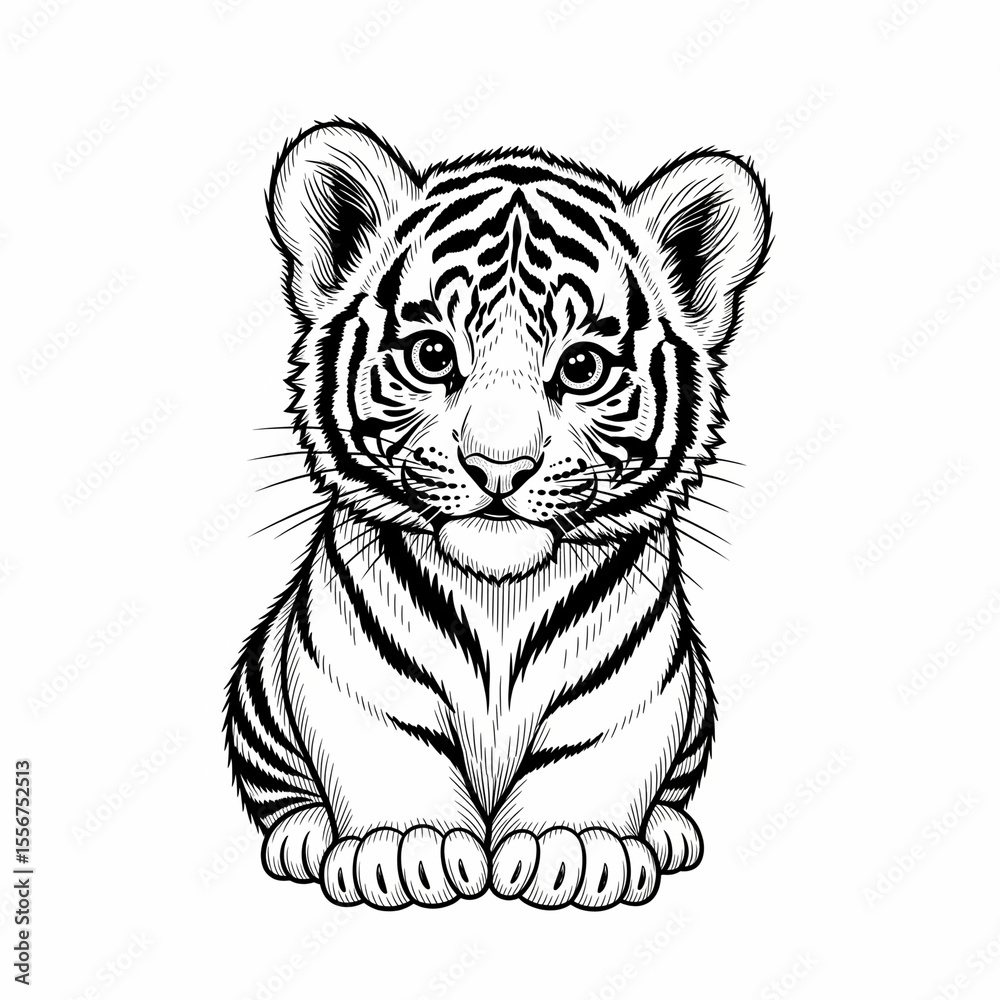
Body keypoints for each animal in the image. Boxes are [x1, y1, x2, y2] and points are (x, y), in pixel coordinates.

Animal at [225, 119, 771, 910]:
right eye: (432, 354)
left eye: (581, 368)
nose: (501, 466)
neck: (499, 599)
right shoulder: (355, 679)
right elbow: (386, 749)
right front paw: (407, 847)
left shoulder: (630, 693)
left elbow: (594, 758)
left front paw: (569, 845)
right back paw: (301, 838)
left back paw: (668, 832)